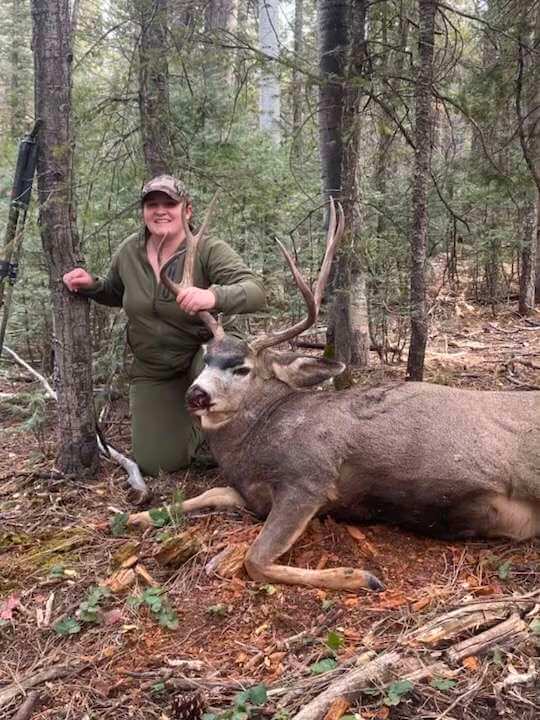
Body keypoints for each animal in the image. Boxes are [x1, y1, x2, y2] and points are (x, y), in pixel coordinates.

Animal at [127, 198, 540, 592]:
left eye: (241, 367)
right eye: (206, 358)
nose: (196, 395)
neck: (255, 443)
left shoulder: (310, 478)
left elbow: (254, 560)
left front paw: (359, 576)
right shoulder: (251, 493)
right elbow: (207, 494)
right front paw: (135, 515)